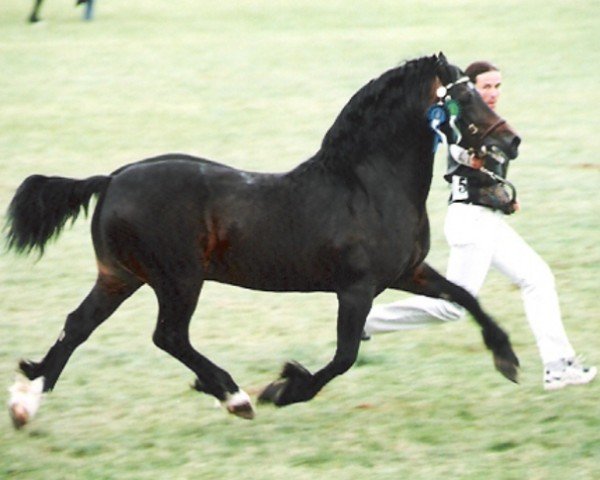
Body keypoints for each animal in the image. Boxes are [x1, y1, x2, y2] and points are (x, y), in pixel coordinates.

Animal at [5, 53, 520, 428]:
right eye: (466, 97)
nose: (511, 142)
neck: (367, 186)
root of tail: (111, 179)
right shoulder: (356, 289)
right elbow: (344, 356)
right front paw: (285, 389)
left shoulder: (407, 272)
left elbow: (465, 298)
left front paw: (507, 358)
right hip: (179, 280)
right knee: (168, 336)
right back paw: (234, 396)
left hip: (120, 276)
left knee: (77, 326)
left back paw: (26, 403)